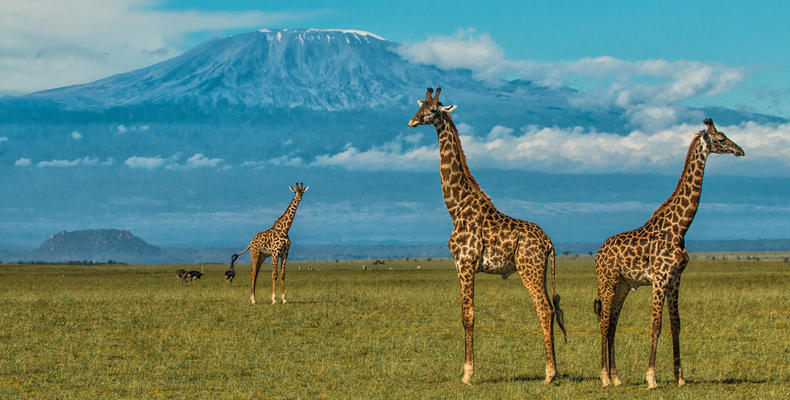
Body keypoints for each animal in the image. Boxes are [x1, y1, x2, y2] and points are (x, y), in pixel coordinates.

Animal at [408, 86, 568, 384]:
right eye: (420, 106)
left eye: (433, 110)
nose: (412, 120)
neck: (456, 207)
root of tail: (549, 243)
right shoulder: (461, 265)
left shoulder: (465, 263)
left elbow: (467, 316)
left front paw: (467, 374)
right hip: (539, 270)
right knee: (550, 309)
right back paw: (552, 370)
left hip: (528, 269)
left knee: (543, 308)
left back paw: (550, 374)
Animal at [596, 118, 744, 388]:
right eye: (721, 138)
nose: (740, 150)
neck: (679, 227)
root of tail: (599, 253)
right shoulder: (660, 278)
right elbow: (656, 324)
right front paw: (651, 378)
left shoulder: (675, 279)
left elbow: (676, 324)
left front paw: (680, 377)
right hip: (607, 281)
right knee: (604, 321)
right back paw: (604, 378)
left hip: (623, 285)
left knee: (612, 322)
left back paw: (617, 377)